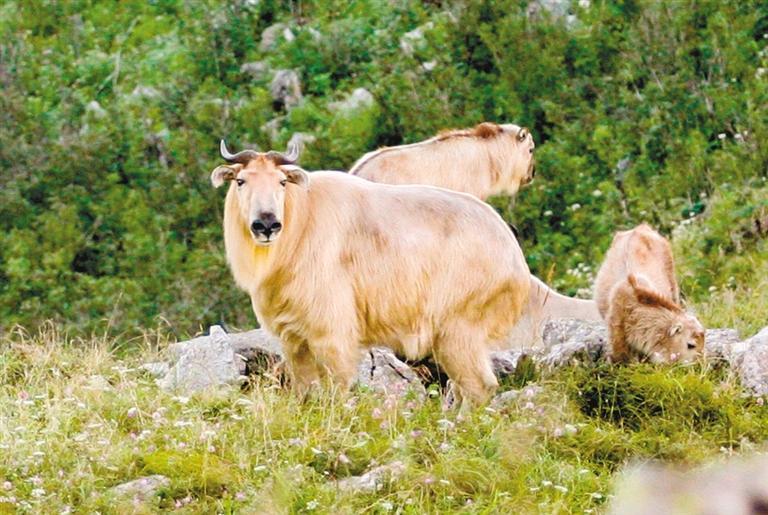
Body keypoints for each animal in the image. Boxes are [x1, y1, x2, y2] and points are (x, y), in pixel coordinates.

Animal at [213, 141, 532, 408]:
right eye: (241, 181)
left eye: (281, 181)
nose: (266, 224)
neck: (300, 222)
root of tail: (514, 255)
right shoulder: (294, 338)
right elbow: (303, 390)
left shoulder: (333, 334)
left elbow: (337, 388)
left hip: (458, 331)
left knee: (479, 387)